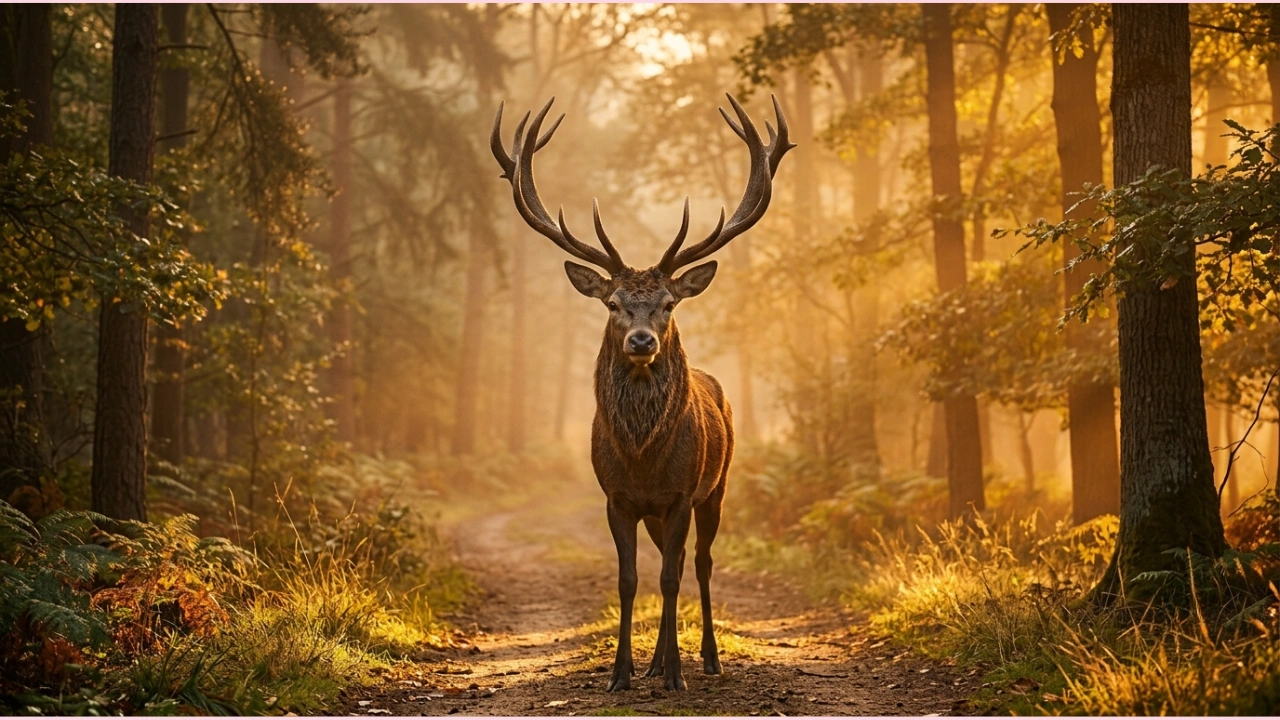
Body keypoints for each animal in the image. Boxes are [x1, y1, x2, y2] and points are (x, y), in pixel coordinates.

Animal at [490, 94, 793, 692]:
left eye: (669, 303)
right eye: (613, 303)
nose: (641, 340)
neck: (643, 457)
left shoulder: (679, 494)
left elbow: (671, 578)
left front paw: (675, 673)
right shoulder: (617, 497)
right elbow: (630, 579)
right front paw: (622, 672)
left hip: (717, 487)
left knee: (699, 563)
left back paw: (707, 658)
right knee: (667, 564)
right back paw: (654, 660)